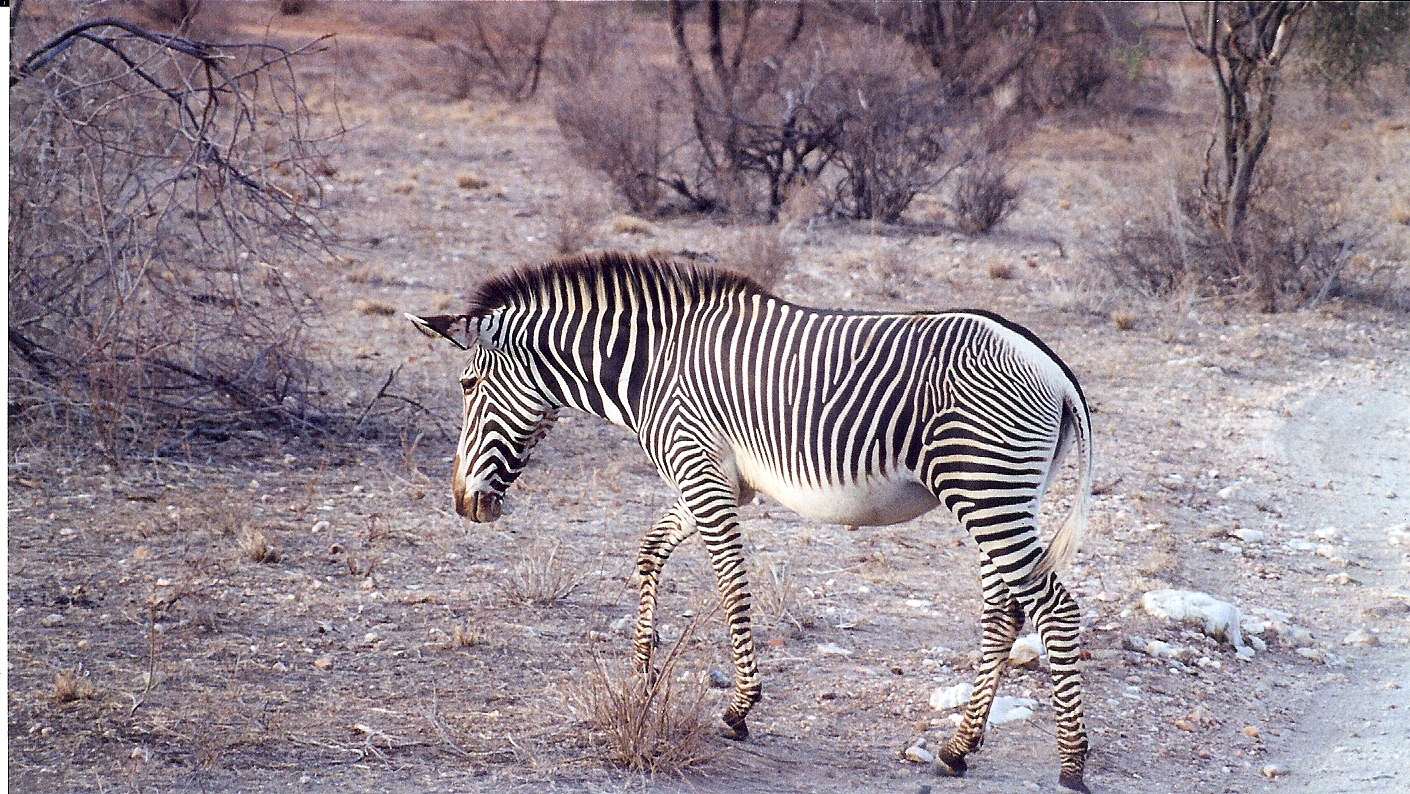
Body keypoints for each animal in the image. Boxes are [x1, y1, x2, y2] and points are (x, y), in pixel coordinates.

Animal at [410, 252, 1095, 792]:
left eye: (468, 386)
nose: (462, 502)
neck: (651, 365)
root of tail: (1053, 366)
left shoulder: (698, 470)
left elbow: (732, 585)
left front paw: (739, 708)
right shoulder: (715, 480)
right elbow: (650, 550)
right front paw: (642, 673)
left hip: (985, 489)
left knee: (1054, 609)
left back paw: (1071, 765)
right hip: (1002, 497)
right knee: (1004, 613)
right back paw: (957, 749)